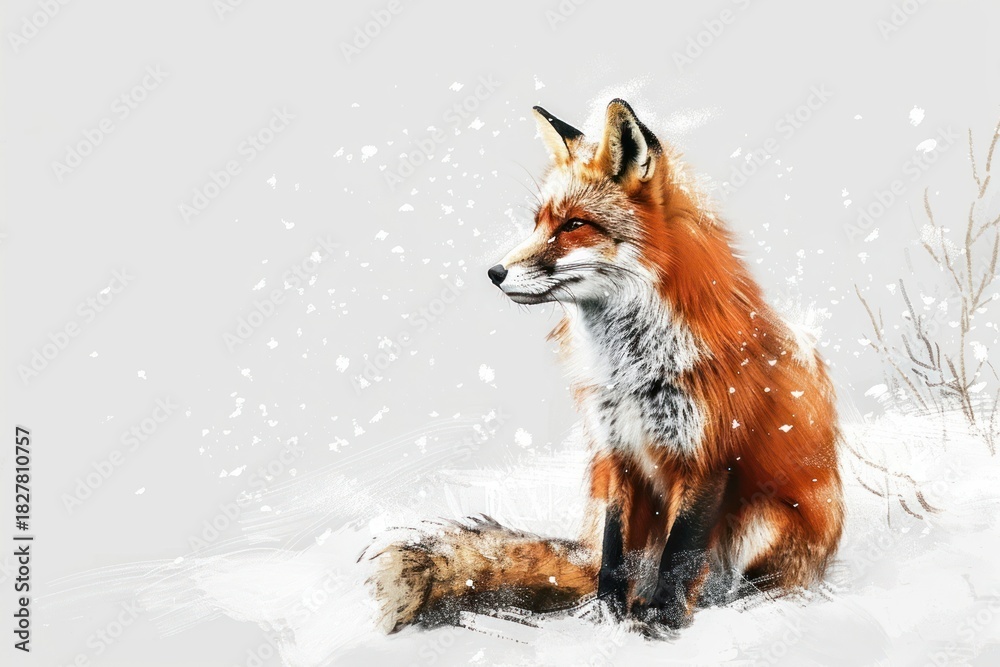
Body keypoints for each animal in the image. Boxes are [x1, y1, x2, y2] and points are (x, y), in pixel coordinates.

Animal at [367, 98, 844, 634]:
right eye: (538, 222)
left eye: (574, 225)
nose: (494, 273)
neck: (634, 370)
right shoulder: (617, 453)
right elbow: (616, 558)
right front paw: (608, 620)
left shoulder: (707, 458)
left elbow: (680, 557)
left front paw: (661, 624)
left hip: (764, 522)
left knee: (745, 586)